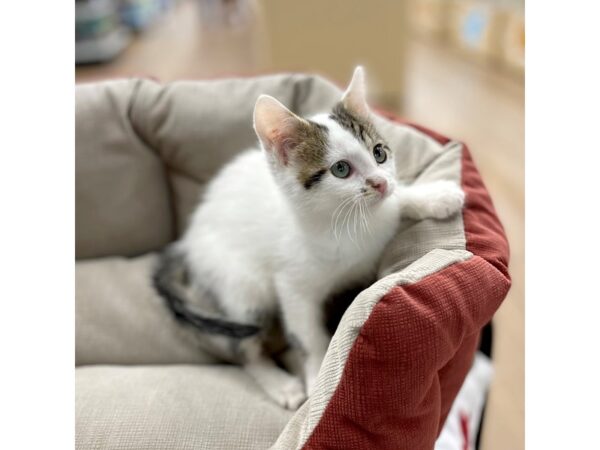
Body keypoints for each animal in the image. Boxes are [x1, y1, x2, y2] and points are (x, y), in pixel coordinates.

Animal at [154, 67, 464, 412]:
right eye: (340, 169)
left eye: (379, 153)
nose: (381, 183)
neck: (349, 224)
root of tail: (186, 242)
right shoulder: (293, 286)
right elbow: (307, 334)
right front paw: (318, 378)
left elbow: (397, 201)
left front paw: (436, 196)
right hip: (242, 289)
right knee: (243, 349)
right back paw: (278, 383)